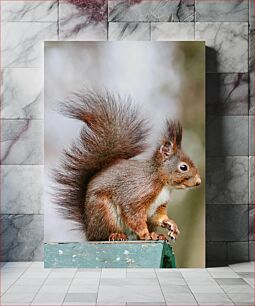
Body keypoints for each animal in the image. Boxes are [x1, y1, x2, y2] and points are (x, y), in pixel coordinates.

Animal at [53, 91, 201, 241]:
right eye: (183, 167)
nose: (198, 182)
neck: (161, 182)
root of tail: (89, 231)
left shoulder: (159, 206)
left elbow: (159, 217)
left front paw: (171, 225)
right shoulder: (137, 193)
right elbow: (133, 214)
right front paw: (145, 234)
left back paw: (156, 234)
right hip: (103, 212)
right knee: (106, 233)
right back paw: (118, 234)